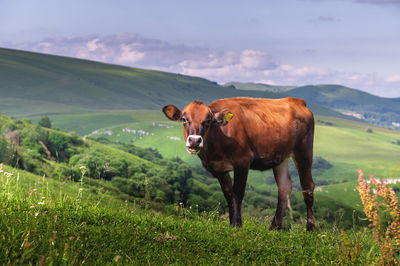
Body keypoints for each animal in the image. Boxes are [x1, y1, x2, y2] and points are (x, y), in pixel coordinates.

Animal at [162, 96, 316, 230]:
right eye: (184, 119)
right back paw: (274, 227)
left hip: (303, 151)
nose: (194, 140)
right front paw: (234, 222)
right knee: (284, 187)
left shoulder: (242, 162)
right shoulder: (218, 169)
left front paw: (236, 224)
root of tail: (296, 101)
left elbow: (238, 194)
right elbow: (229, 195)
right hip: (280, 157)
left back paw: (310, 228)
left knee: (307, 187)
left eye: (208, 120)